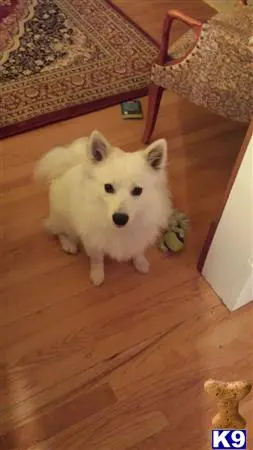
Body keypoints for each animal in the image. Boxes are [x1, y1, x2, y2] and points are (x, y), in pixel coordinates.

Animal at [34, 130, 172, 284]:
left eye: (137, 191)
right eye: (108, 187)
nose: (119, 218)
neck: (120, 230)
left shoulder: (139, 235)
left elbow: (138, 250)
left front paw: (141, 263)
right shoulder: (93, 240)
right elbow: (97, 260)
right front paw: (97, 276)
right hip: (64, 218)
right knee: (59, 231)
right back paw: (69, 245)